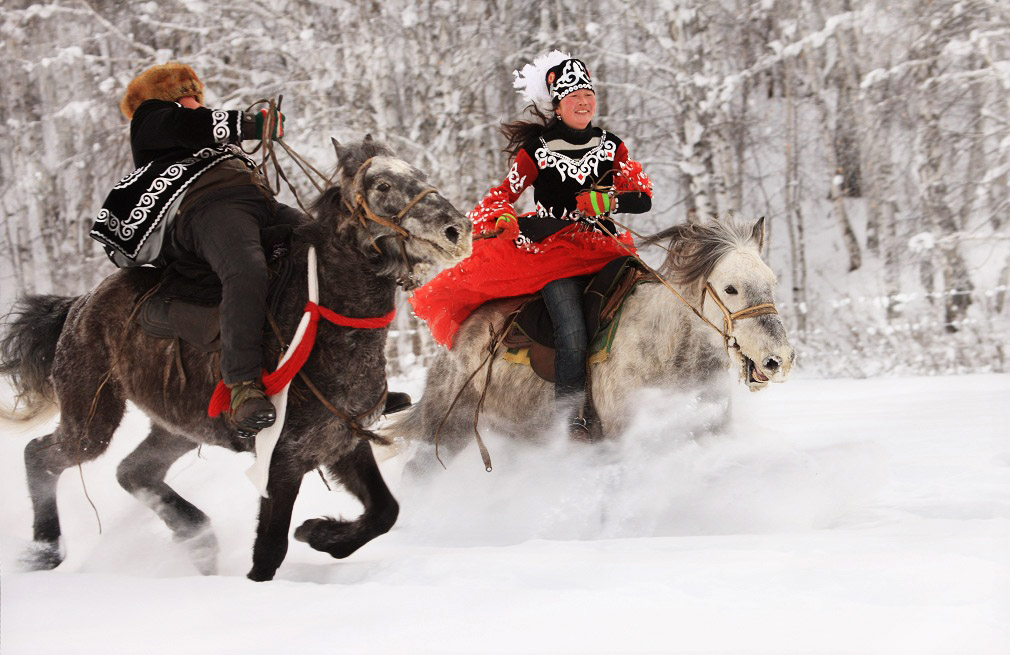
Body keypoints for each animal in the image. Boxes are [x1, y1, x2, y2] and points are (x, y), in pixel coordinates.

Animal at [0, 135, 472, 581]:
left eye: (419, 172)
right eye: (383, 185)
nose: (457, 231)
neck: (324, 325)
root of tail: (76, 307)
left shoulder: (343, 442)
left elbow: (384, 512)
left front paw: (319, 534)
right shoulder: (282, 460)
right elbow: (269, 552)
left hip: (178, 427)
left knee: (133, 471)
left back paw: (199, 540)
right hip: (92, 419)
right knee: (40, 456)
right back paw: (44, 552)